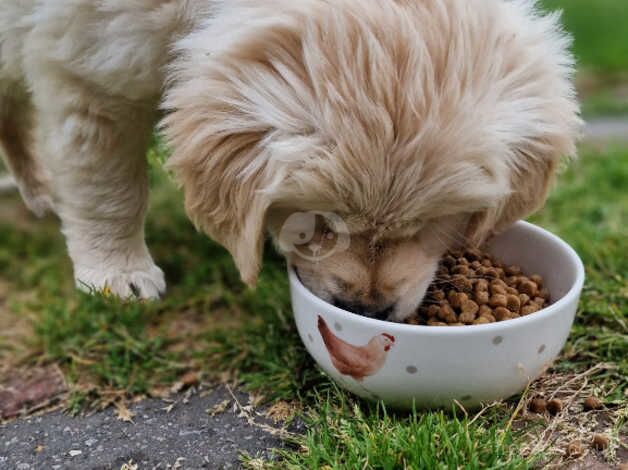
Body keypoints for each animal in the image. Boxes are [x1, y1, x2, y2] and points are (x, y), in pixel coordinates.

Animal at [0, 0, 580, 322]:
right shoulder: (89, 67)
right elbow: (109, 190)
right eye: (318, 223)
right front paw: (117, 274)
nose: (366, 312)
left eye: (431, 225)